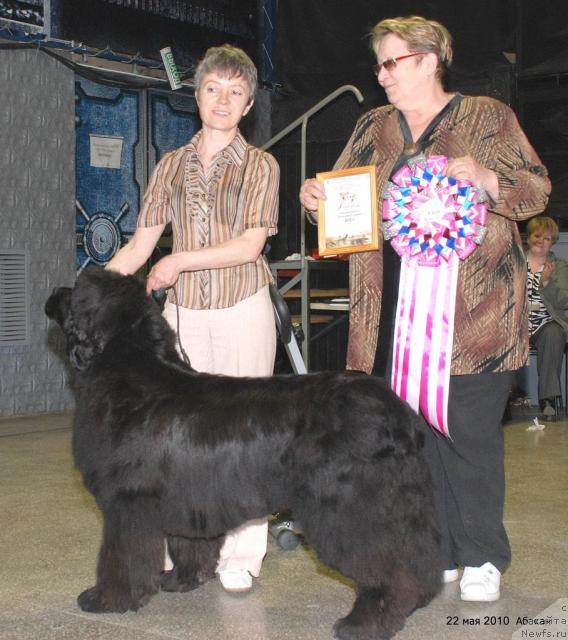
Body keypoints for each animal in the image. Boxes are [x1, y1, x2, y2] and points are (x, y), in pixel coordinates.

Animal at [46, 268, 442, 636]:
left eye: (76, 290)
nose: (52, 294)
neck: (135, 373)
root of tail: (395, 410)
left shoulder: (127, 501)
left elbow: (120, 558)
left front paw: (105, 599)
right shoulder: (186, 495)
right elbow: (188, 543)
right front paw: (181, 580)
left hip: (349, 508)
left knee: (385, 566)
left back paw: (365, 622)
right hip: (399, 505)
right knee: (416, 555)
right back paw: (418, 599)